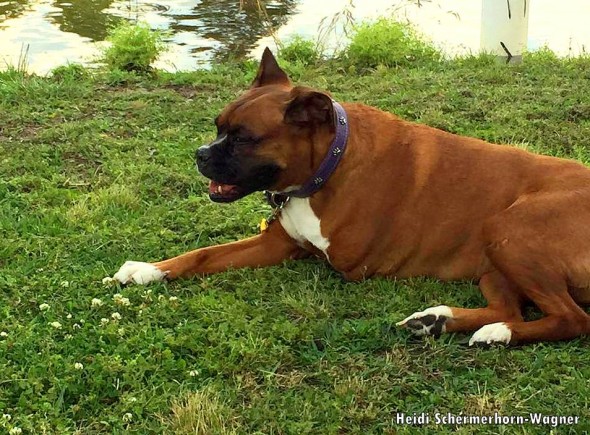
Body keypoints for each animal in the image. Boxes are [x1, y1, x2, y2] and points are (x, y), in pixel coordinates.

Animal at [107, 48, 590, 348]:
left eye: (243, 138)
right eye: (217, 126)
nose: (201, 154)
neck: (326, 167)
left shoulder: (338, 263)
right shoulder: (276, 243)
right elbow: (203, 254)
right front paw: (148, 270)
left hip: (508, 228)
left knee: (572, 319)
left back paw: (494, 333)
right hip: (495, 258)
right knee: (511, 308)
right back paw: (439, 321)